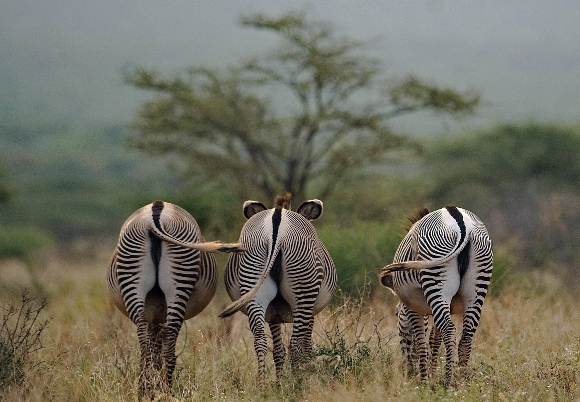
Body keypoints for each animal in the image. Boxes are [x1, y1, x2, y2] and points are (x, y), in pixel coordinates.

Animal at [107, 199, 241, 394]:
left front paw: (153, 382)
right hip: (167, 279)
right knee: (162, 340)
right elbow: (157, 344)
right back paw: (159, 388)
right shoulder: (158, 315)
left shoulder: (156, 315)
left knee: (149, 341)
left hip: (146, 280)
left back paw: (151, 388)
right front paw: (154, 383)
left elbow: (155, 344)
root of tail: (155, 215)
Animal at [219, 193, 338, 388]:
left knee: (260, 341)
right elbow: (306, 346)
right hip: (303, 293)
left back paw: (261, 386)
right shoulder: (311, 312)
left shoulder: (273, 313)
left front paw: (278, 384)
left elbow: (278, 351)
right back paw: (297, 384)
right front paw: (304, 373)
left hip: (254, 281)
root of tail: (277, 218)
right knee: (295, 344)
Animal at [378, 206, 492, 388]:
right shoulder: (447, 306)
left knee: (450, 330)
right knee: (466, 337)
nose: (405, 372)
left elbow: (421, 343)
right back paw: (461, 383)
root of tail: (464, 227)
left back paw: (448, 384)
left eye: (396, 315)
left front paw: (424, 382)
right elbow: (434, 339)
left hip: (436, 279)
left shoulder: (412, 306)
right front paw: (431, 378)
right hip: (477, 286)